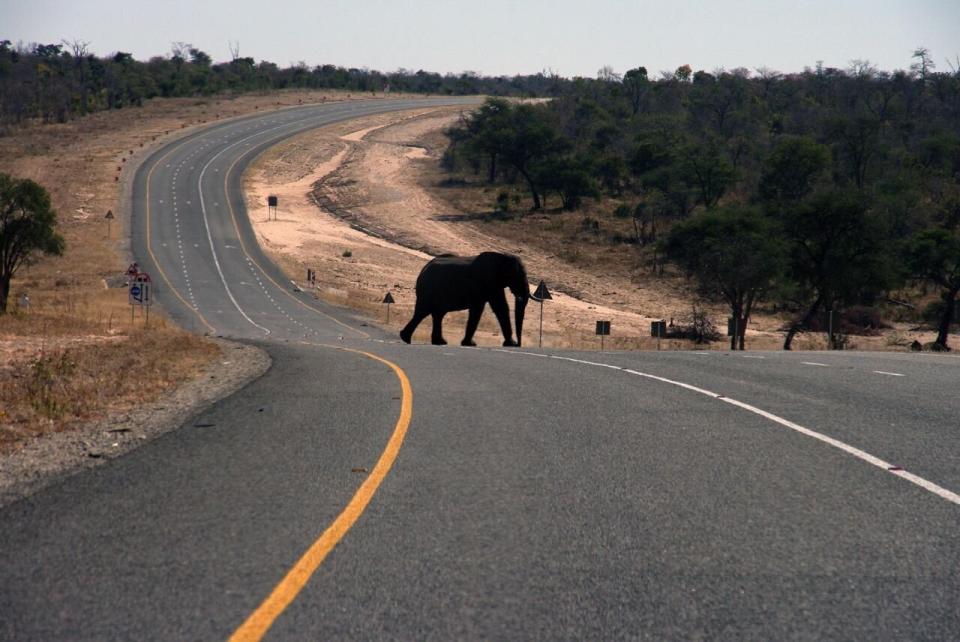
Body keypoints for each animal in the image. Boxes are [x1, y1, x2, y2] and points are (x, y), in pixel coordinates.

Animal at [398, 252, 536, 348]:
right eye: (518, 276)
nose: (519, 344)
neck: (502, 257)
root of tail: (423, 269)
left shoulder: (493, 283)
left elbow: (498, 307)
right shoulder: (487, 281)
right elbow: (489, 308)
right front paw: (471, 344)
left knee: (437, 314)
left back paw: (438, 342)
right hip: (428, 290)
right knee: (423, 312)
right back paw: (406, 338)